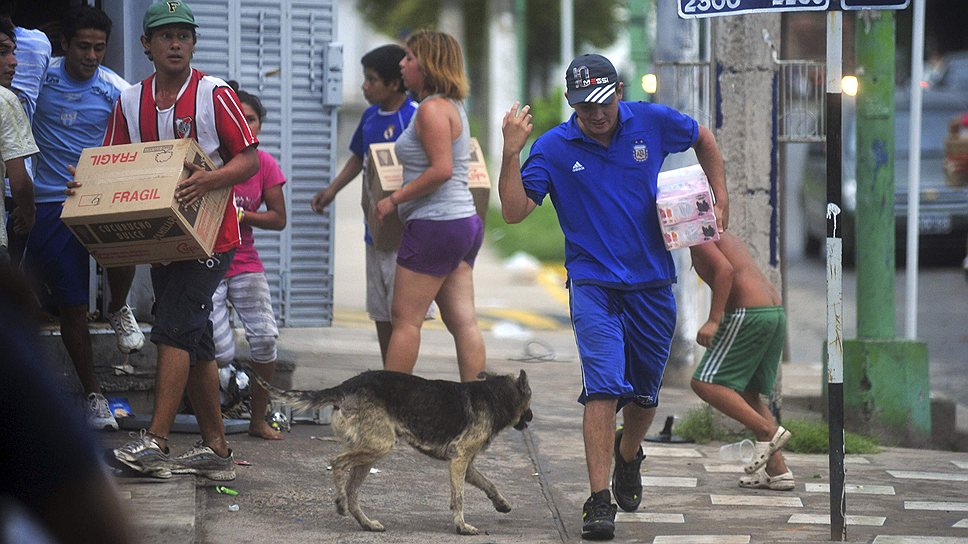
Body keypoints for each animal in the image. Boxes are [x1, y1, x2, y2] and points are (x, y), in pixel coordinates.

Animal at [241, 368, 528, 532]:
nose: (531, 418)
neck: (495, 395)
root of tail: (346, 386)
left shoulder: (464, 465)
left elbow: (489, 483)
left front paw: (501, 504)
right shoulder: (459, 461)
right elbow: (459, 498)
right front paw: (461, 526)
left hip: (369, 451)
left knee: (353, 490)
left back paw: (365, 522)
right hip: (379, 446)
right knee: (337, 463)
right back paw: (340, 502)